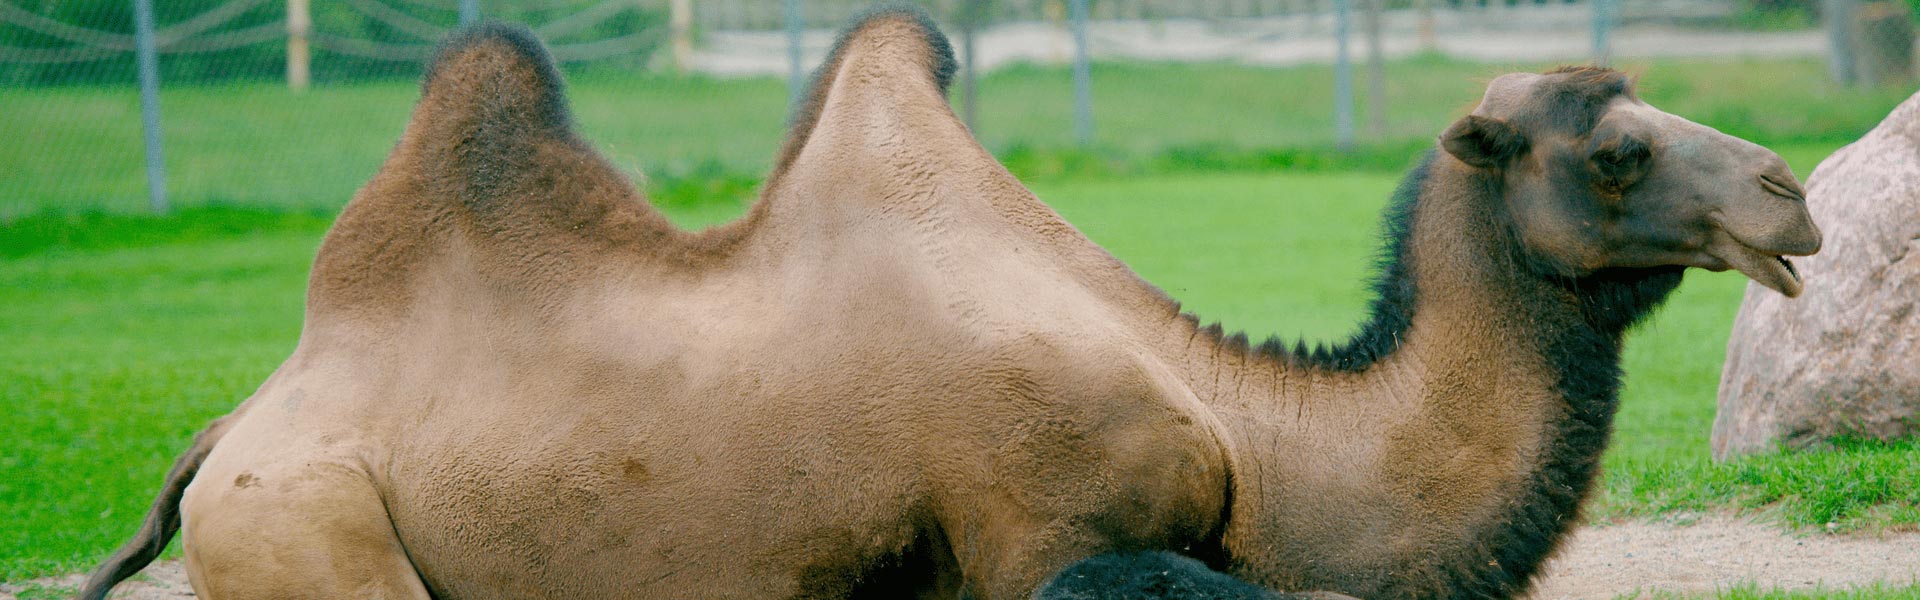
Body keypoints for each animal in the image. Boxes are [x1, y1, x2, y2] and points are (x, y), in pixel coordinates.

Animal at [78, 5, 1812, 600]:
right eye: (1614, 148)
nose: (1789, 192)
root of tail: (230, 429)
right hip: (307, 527)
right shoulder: (1054, 532)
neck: (1251, 440)